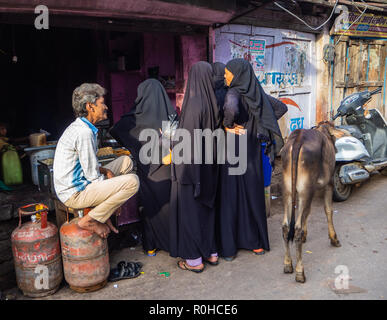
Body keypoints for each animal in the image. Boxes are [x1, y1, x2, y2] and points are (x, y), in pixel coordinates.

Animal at [280, 120, 350, 282]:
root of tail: (298, 139)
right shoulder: (329, 184)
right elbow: (328, 210)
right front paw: (334, 238)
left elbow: (307, 213)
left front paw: (307, 235)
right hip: (305, 189)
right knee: (297, 228)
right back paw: (300, 272)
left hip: (289, 191)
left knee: (286, 226)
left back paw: (288, 264)